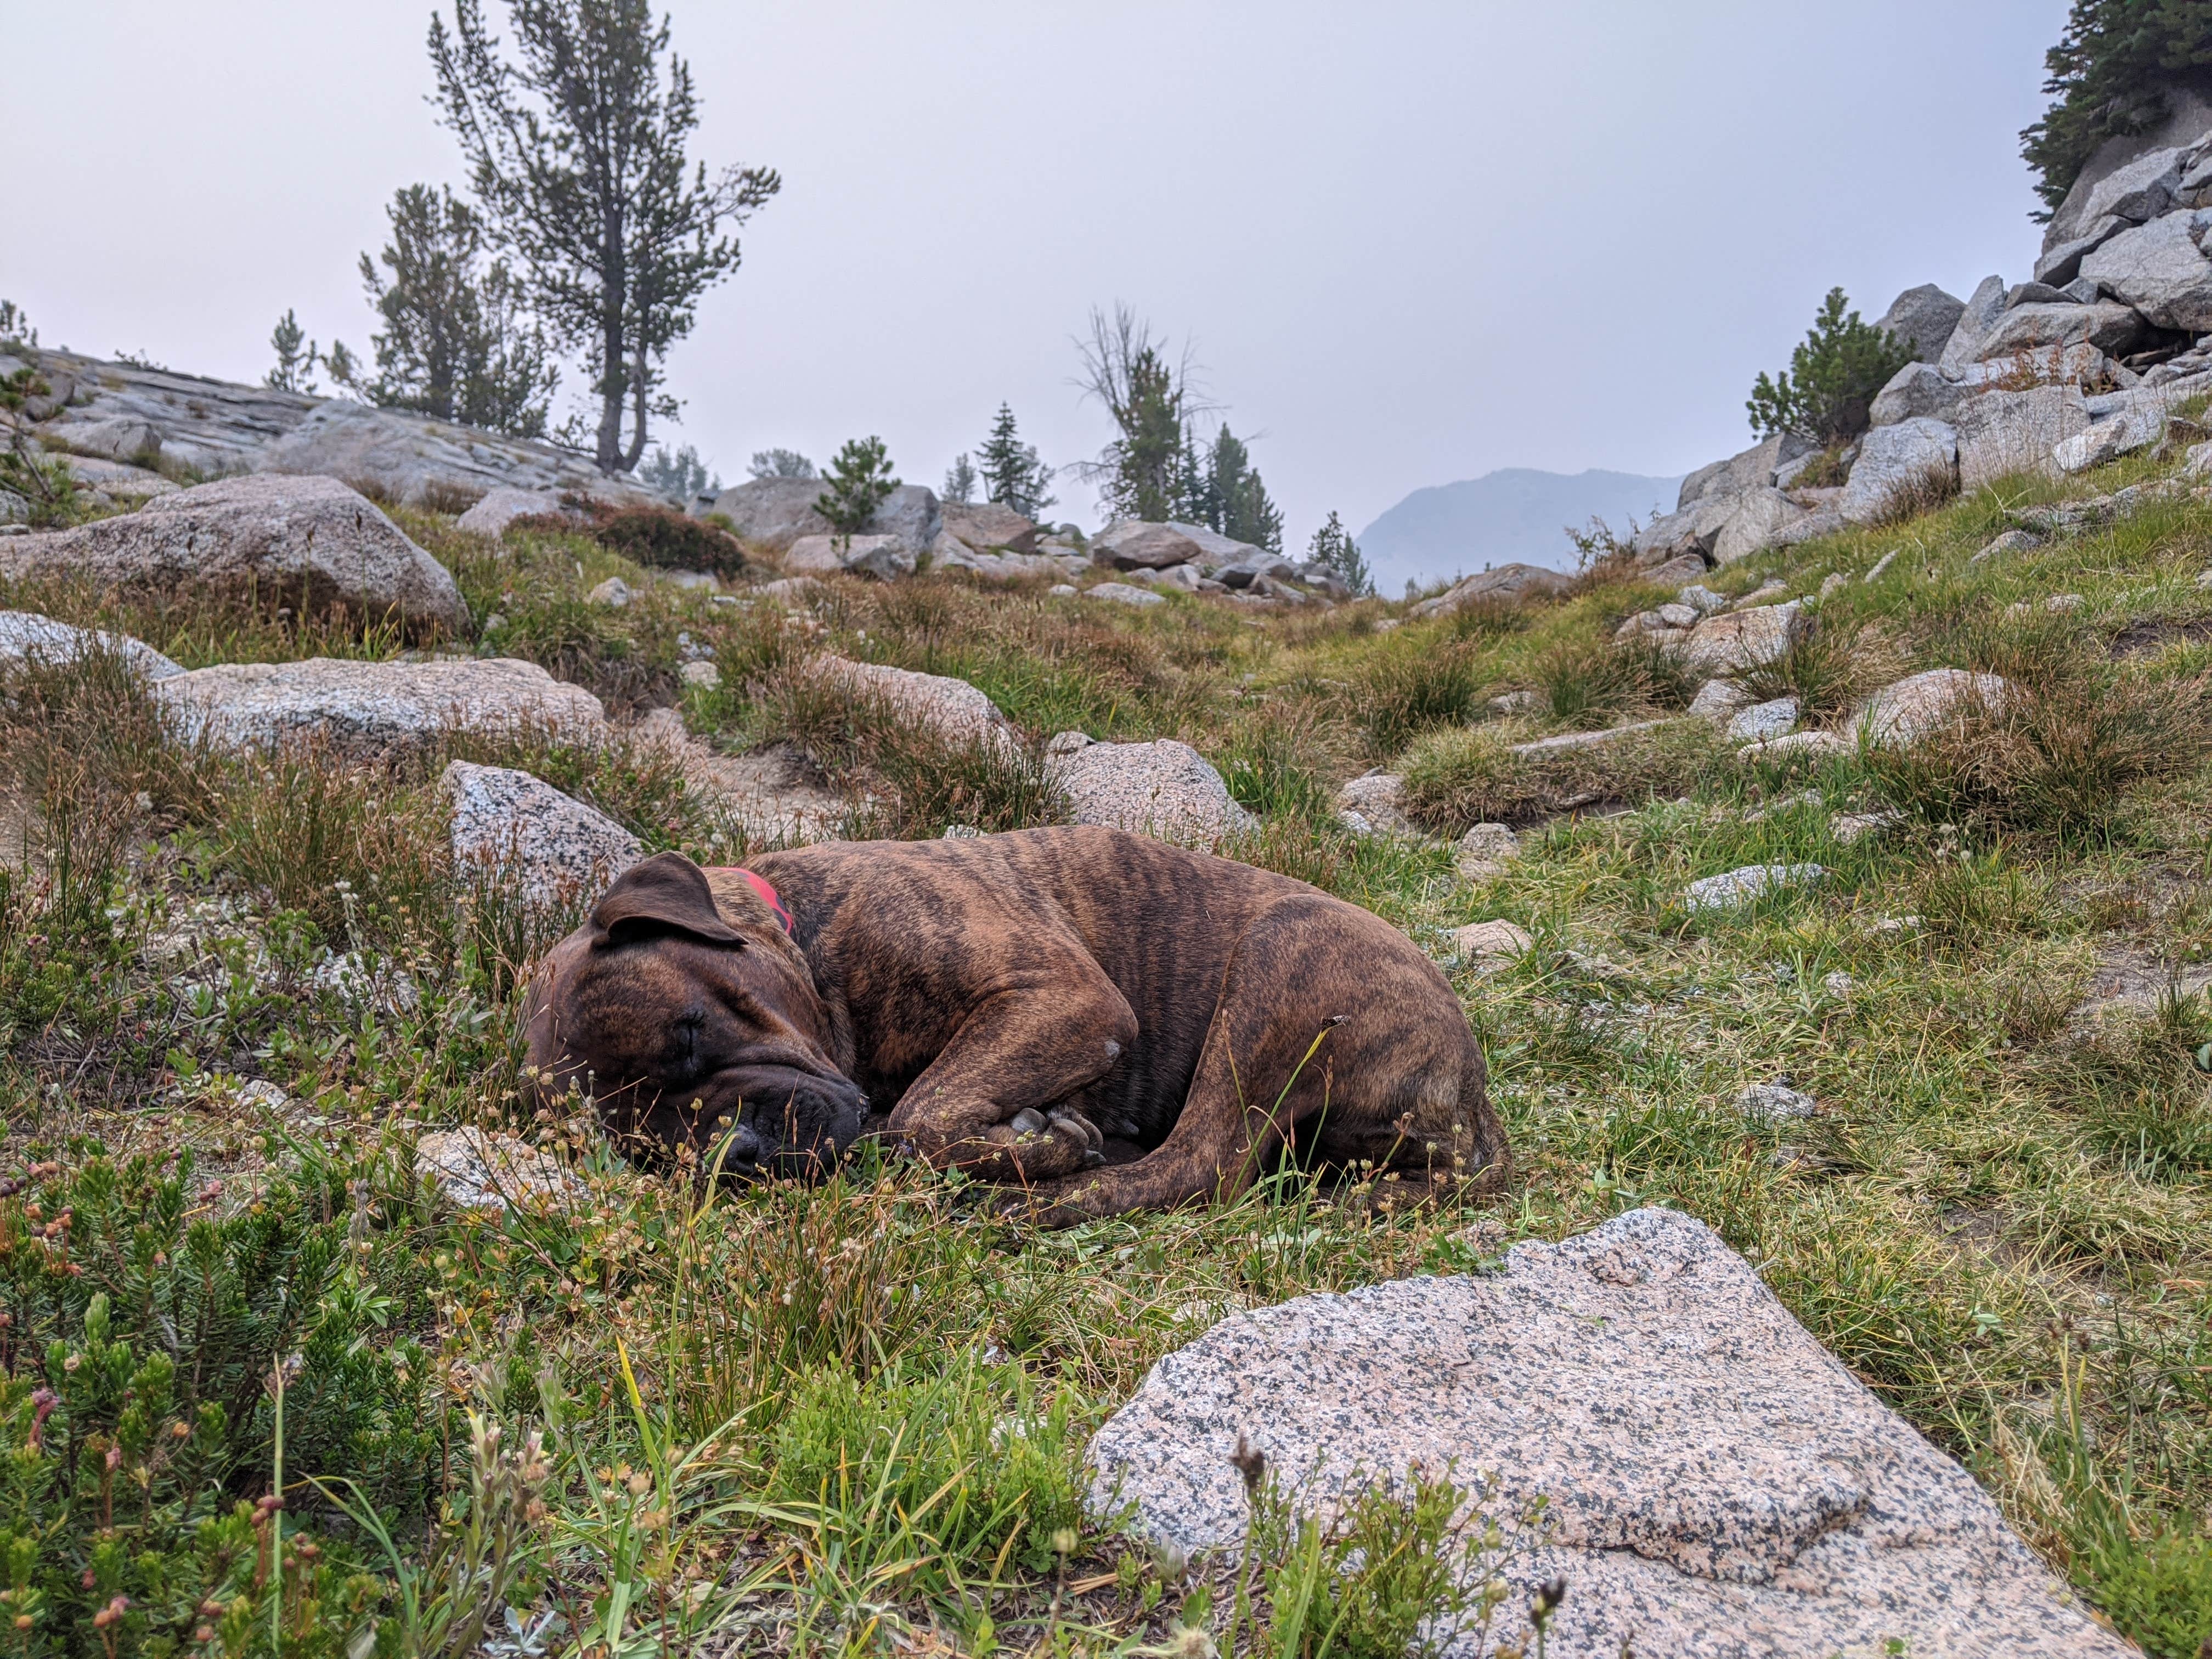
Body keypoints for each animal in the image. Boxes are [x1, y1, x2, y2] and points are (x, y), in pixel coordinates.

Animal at [526, 827, 1513, 1229]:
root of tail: (1471, 1084)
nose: (735, 1157)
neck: (810, 933)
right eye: (643, 1145)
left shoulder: (1063, 996)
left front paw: (1036, 1145)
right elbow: (913, 1122)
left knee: (1202, 1165)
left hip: (1277, 958)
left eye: (692, 1030)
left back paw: (1028, 1199)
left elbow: (922, 1116)